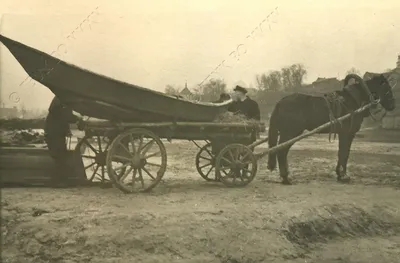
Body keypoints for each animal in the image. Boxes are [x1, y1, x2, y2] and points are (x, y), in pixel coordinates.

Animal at [268, 73, 396, 186]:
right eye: (387, 88)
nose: (393, 105)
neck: (352, 100)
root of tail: (280, 102)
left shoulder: (342, 134)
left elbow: (341, 153)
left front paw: (339, 174)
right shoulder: (347, 133)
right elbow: (344, 153)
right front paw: (344, 176)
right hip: (290, 133)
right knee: (281, 151)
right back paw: (286, 178)